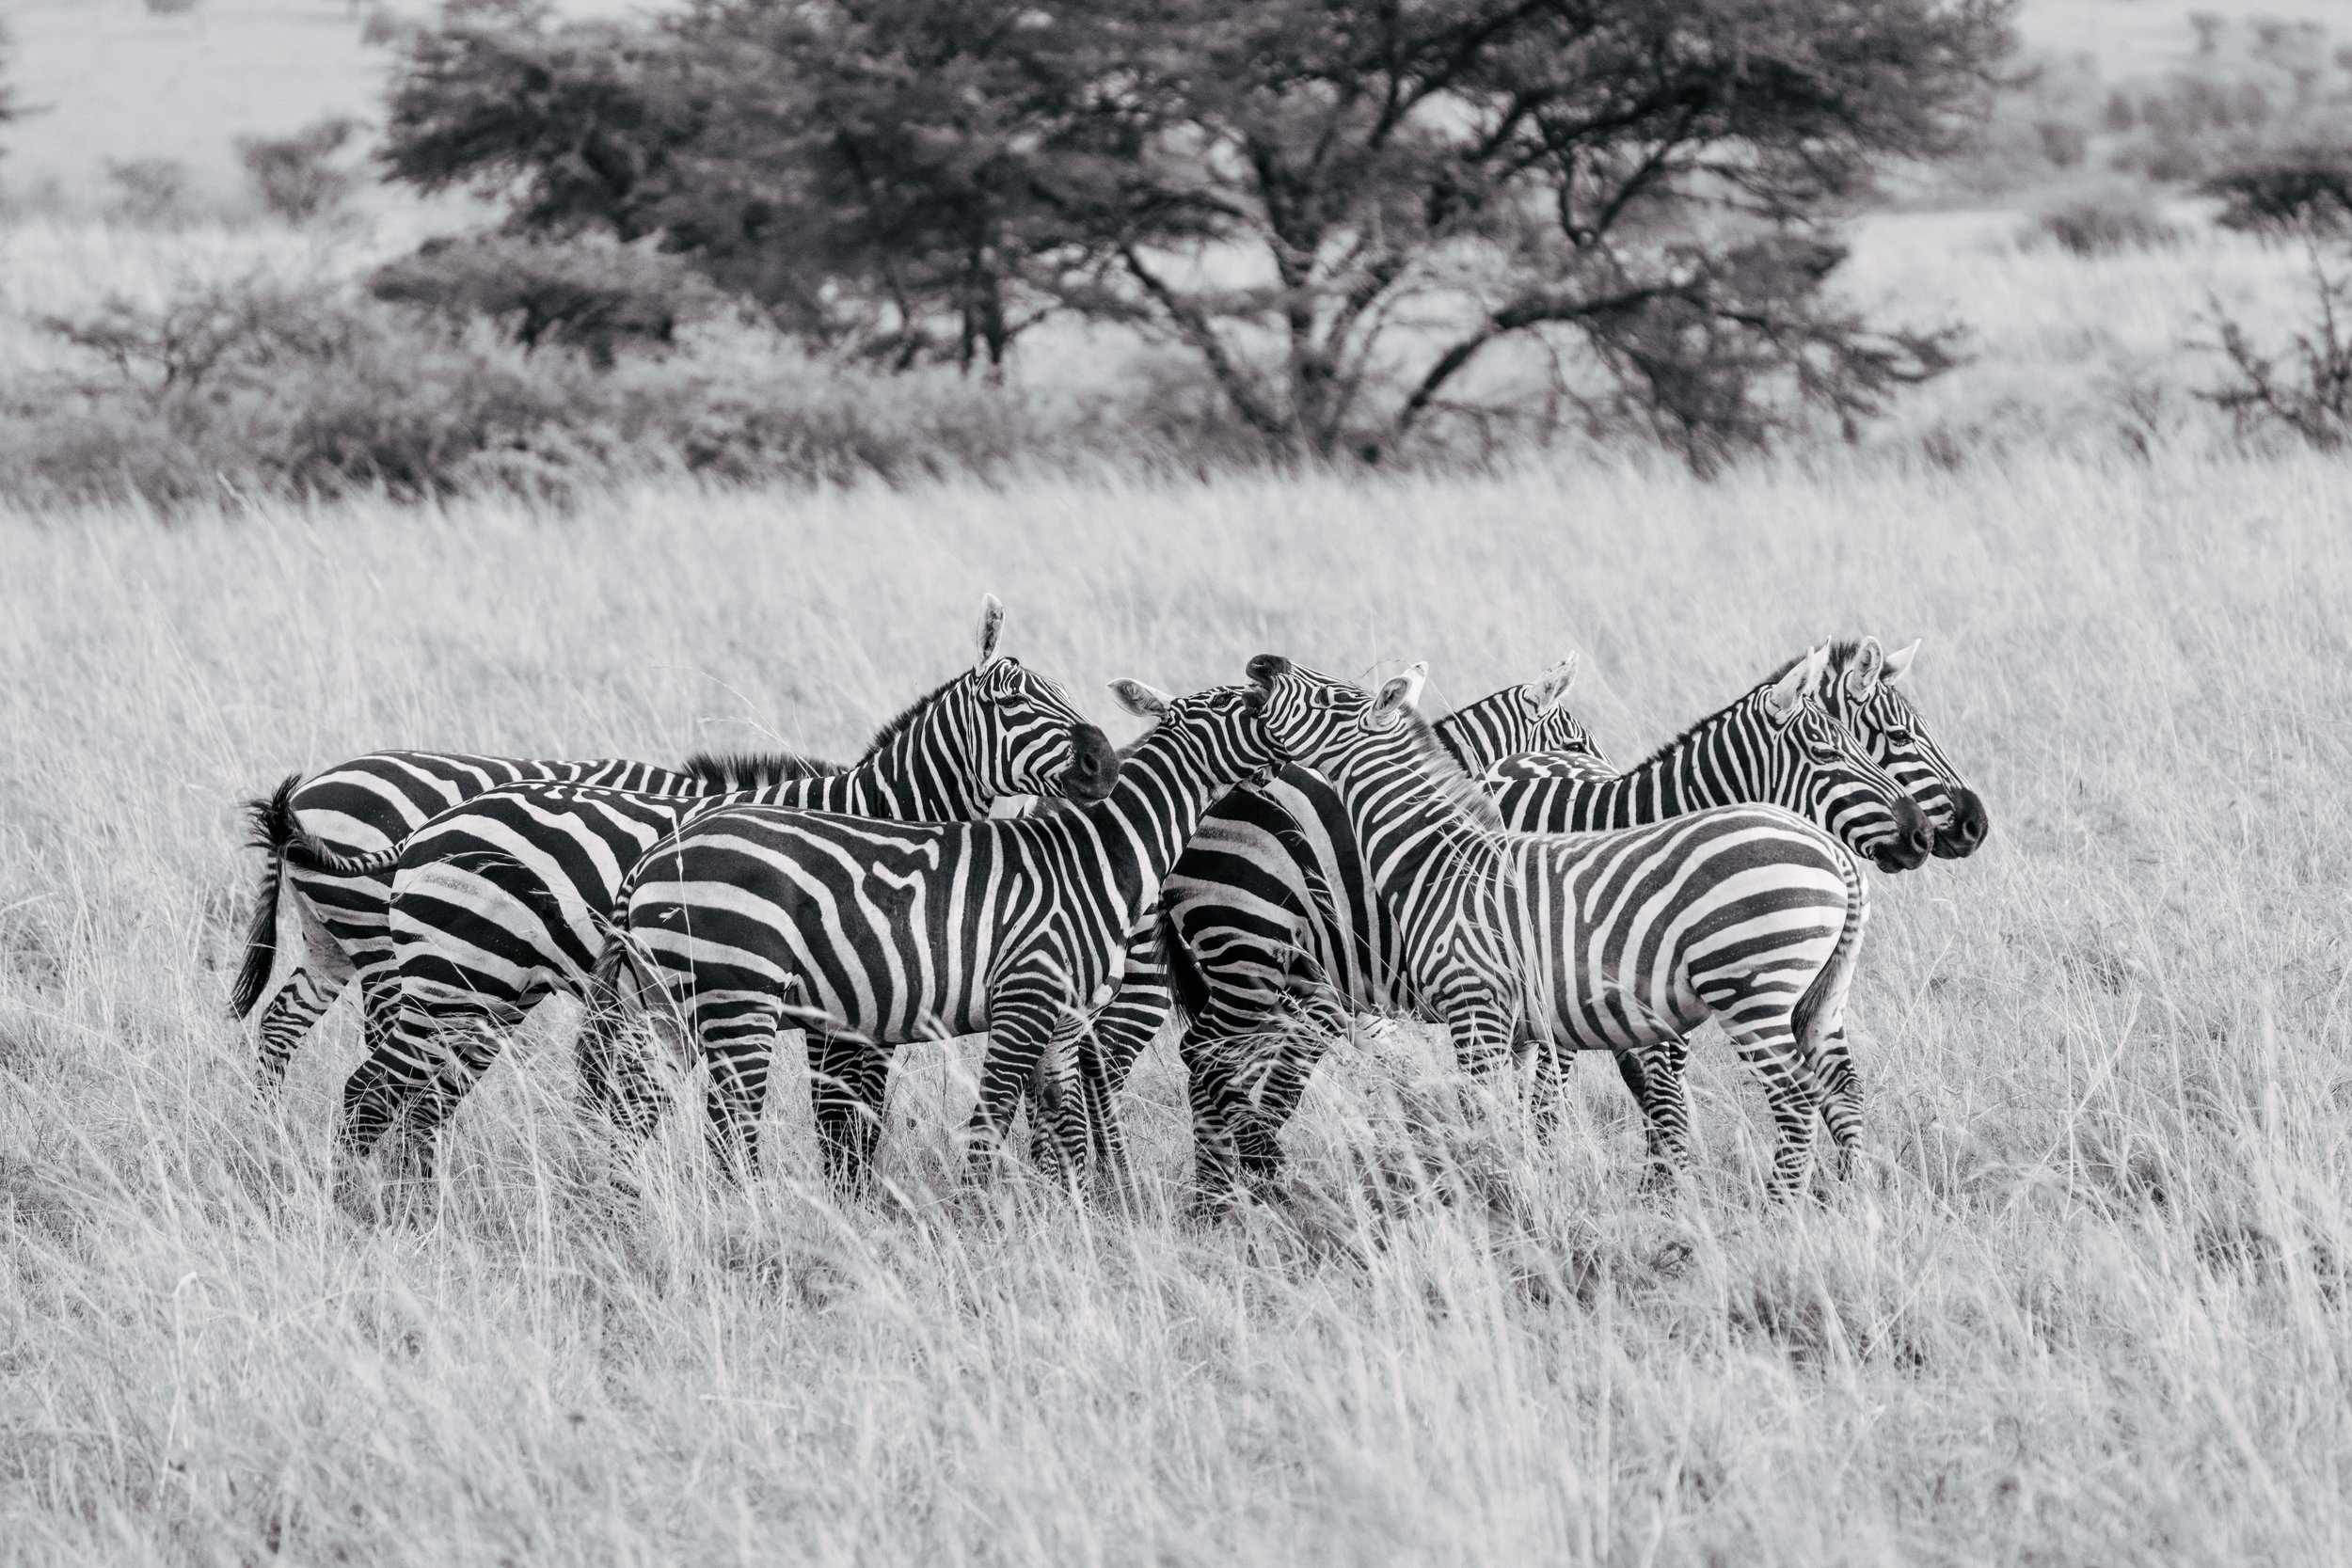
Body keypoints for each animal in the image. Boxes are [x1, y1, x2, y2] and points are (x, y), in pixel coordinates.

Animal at [583, 679, 1282, 1189]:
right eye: (1242, 705)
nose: (1103, 766)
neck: (1096, 857)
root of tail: (655, 855)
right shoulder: (1026, 997)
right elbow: (989, 1121)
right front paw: (978, 1222)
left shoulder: (1065, 1019)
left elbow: (1061, 1130)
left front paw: (1071, 1219)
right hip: (737, 996)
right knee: (728, 1123)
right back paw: (749, 1215)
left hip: (662, 1003)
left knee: (636, 1107)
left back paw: (631, 1205)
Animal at [1162, 643, 1933, 1185]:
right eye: (1840, 747)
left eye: (1327, 694)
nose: (1927, 833)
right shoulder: (1542, 1010)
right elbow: (1553, 1110)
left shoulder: (1509, 1006)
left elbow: (1555, 1108)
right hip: (1261, 963)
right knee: (1217, 1065)